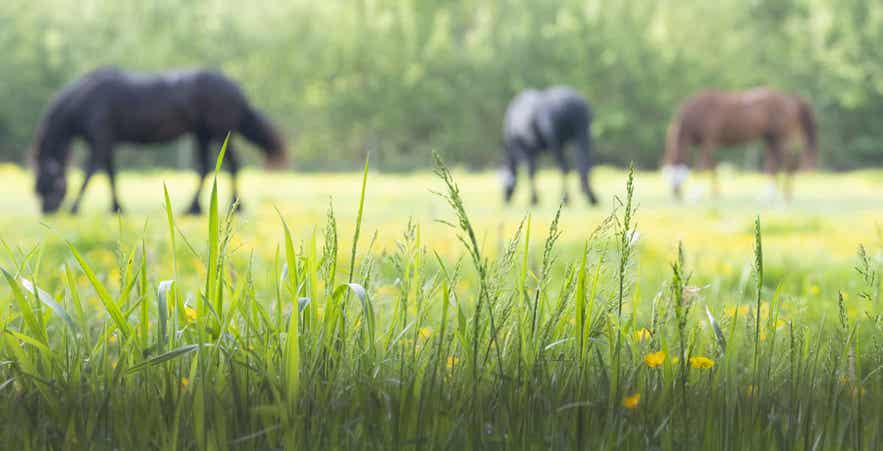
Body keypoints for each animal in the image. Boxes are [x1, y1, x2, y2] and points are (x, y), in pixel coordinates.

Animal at [32, 67, 287, 215]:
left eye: (48, 185)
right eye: (36, 189)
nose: (46, 211)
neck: (85, 99)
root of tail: (235, 87)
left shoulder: (101, 139)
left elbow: (90, 173)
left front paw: (74, 207)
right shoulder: (109, 143)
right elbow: (111, 174)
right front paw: (117, 207)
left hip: (219, 132)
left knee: (232, 165)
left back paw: (235, 204)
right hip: (202, 134)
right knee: (205, 168)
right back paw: (193, 208)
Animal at [661, 87, 817, 200]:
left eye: (675, 174)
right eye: (666, 174)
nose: (675, 194)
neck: (697, 112)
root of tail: (790, 98)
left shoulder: (708, 141)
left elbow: (704, 167)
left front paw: (699, 194)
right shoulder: (702, 143)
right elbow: (711, 166)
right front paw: (714, 193)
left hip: (780, 137)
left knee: (788, 161)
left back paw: (784, 195)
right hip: (771, 139)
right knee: (774, 163)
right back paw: (771, 194)